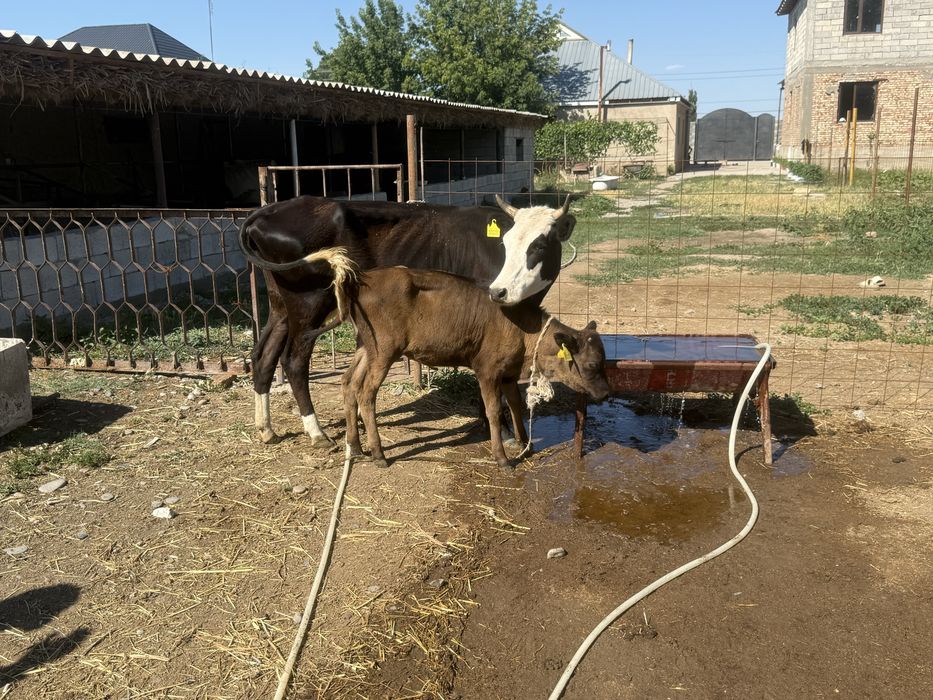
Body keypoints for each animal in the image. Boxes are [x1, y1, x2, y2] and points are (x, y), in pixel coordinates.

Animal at [238, 194, 576, 446]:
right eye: (506, 244)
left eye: (539, 245)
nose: (499, 291)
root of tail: (267, 211)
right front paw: (502, 431)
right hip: (308, 304)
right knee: (293, 361)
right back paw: (317, 433)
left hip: (282, 307)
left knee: (263, 355)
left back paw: (266, 429)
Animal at [297, 248, 610, 469]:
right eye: (592, 364)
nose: (606, 394)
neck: (523, 330)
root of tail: (361, 280)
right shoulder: (487, 370)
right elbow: (493, 411)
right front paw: (502, 458)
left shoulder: (508, 372)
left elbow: (516, 405)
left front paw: (524, 443)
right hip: (384, 349)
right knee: (366, 393)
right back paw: (378, 453)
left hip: (366, 346)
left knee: (349, 383)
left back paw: (356, 446)